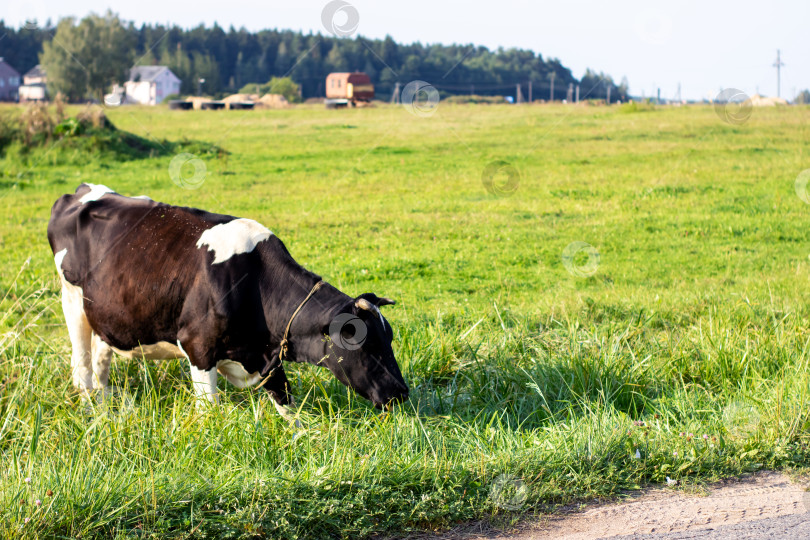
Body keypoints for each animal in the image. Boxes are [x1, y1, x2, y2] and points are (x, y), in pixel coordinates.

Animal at [47, 184, 408, 416]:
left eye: (388, 339)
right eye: (363, 343)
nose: (402, 392)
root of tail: (80, 191)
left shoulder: (270, 356)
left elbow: (289, 408)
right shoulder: (198, 347)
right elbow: (210, 412)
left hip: (105, 314)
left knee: (101, 358)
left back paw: (109, 405)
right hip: (71, 301)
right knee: (82, 367)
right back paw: (94, 412)